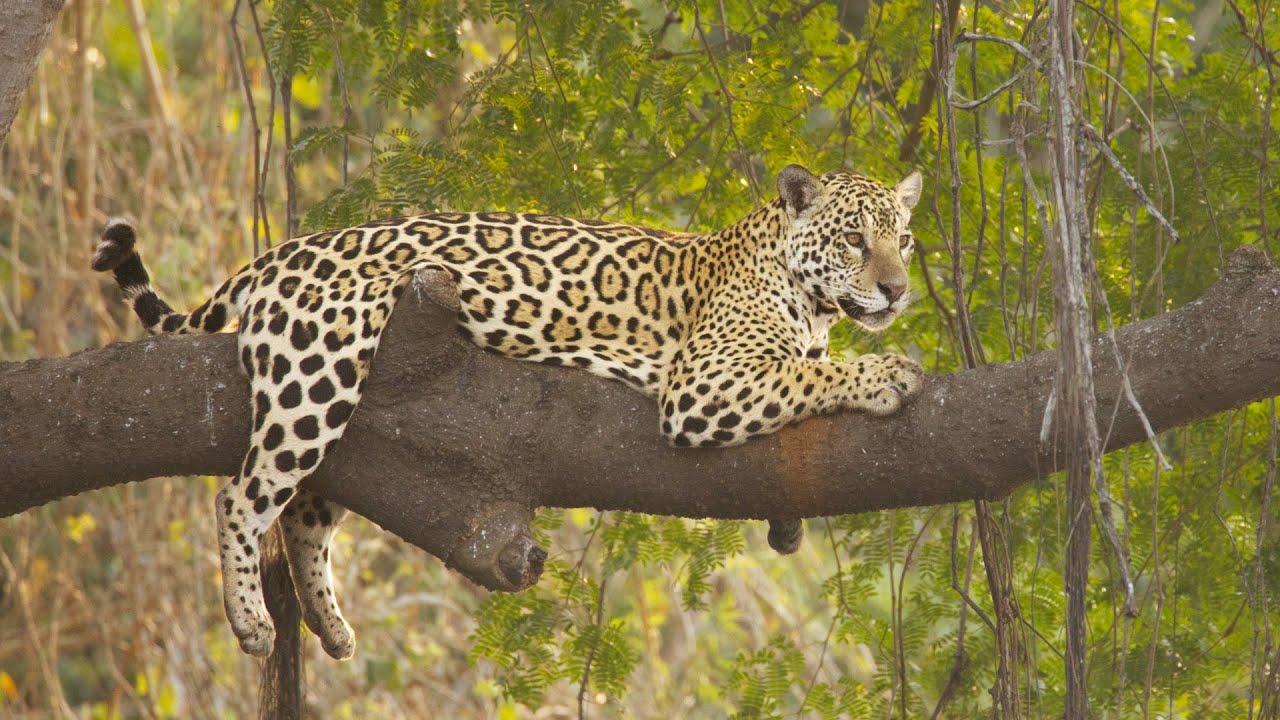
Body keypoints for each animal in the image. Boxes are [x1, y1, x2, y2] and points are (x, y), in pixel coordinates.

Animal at [91, 163, 924, 660]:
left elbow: (801, 382)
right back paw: (251, 621)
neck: (810, 300)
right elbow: (804, 377)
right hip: (315, 372)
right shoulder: (703, 384)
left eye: (906, 240)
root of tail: (279, 252)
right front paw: (889, 372)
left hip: (351, 405)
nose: (897, 291)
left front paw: (789, 524)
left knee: (302, 515)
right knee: (243, 495)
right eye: (856, 241)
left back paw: (329, 624)